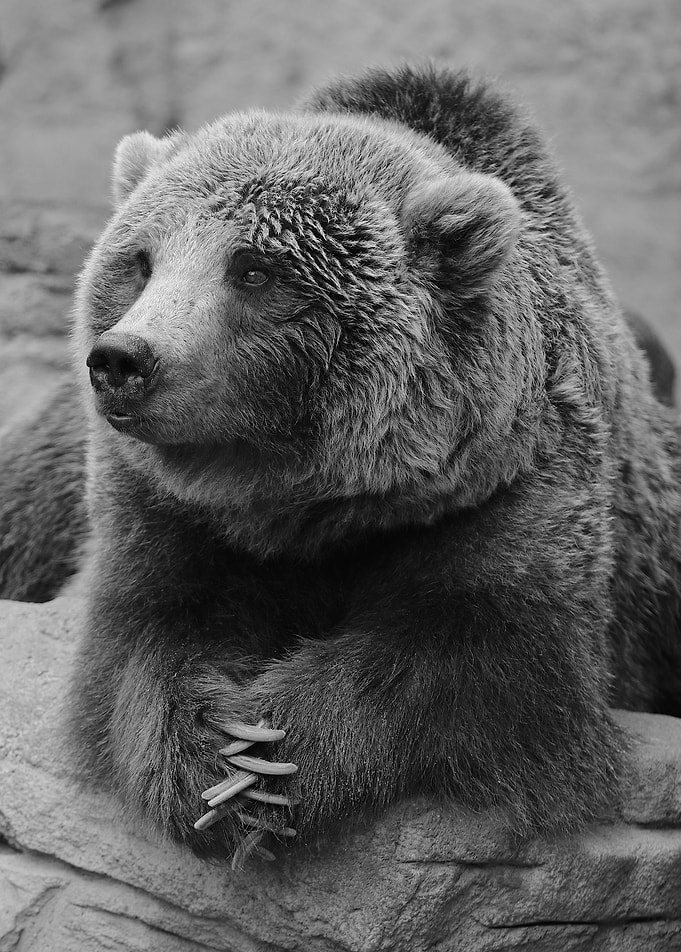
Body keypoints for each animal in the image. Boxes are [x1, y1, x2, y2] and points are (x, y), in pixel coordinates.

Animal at [3, 63, 681, 866]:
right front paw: (210, 761)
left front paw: (268, 760)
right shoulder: (160, 504)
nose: (124, 359)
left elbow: (476, 647)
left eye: (254, 269)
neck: (310, 500)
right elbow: (150, 627)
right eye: (139, 261)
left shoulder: (511, 485)